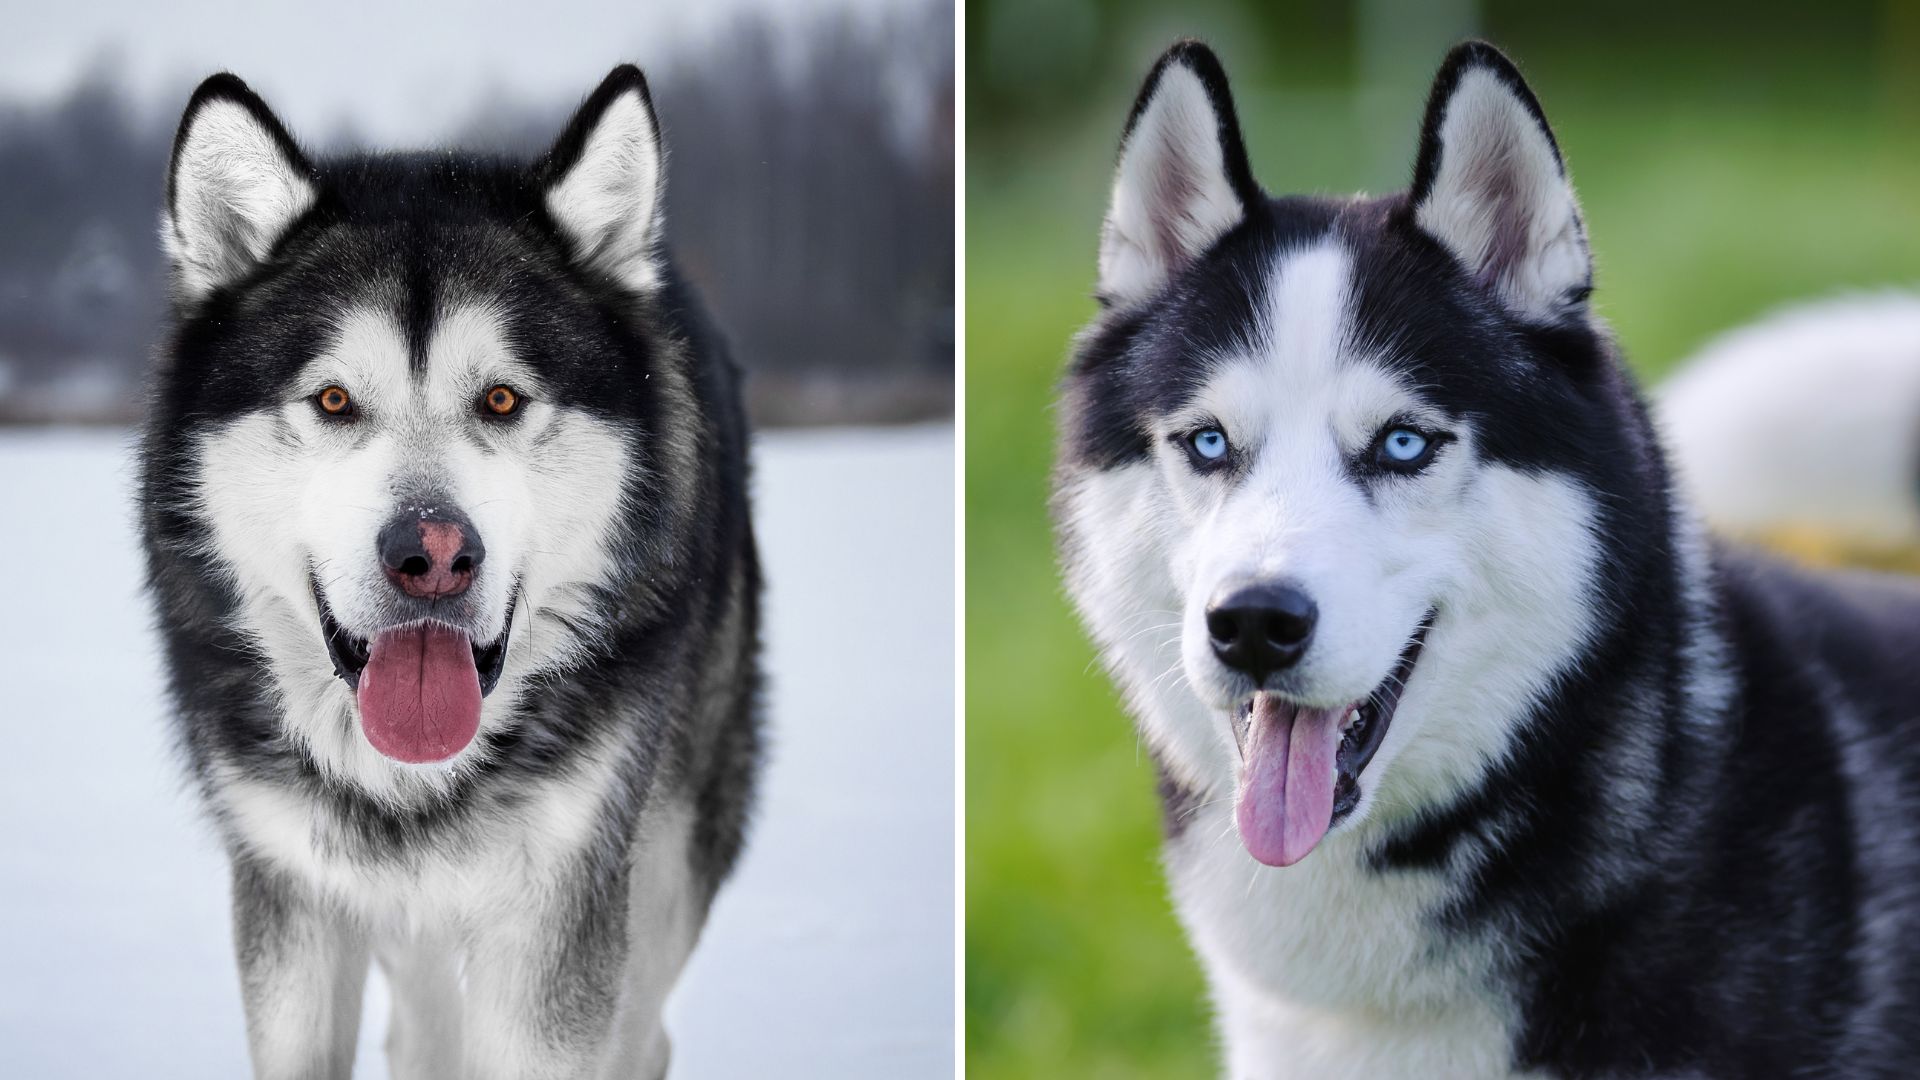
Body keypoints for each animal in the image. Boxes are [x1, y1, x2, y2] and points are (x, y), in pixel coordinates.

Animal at [137, 67, 756, 1076]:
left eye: (501, 400)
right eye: (334, 400)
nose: (432, 554)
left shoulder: (557, 904)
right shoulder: (292, 890)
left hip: (663, 855)